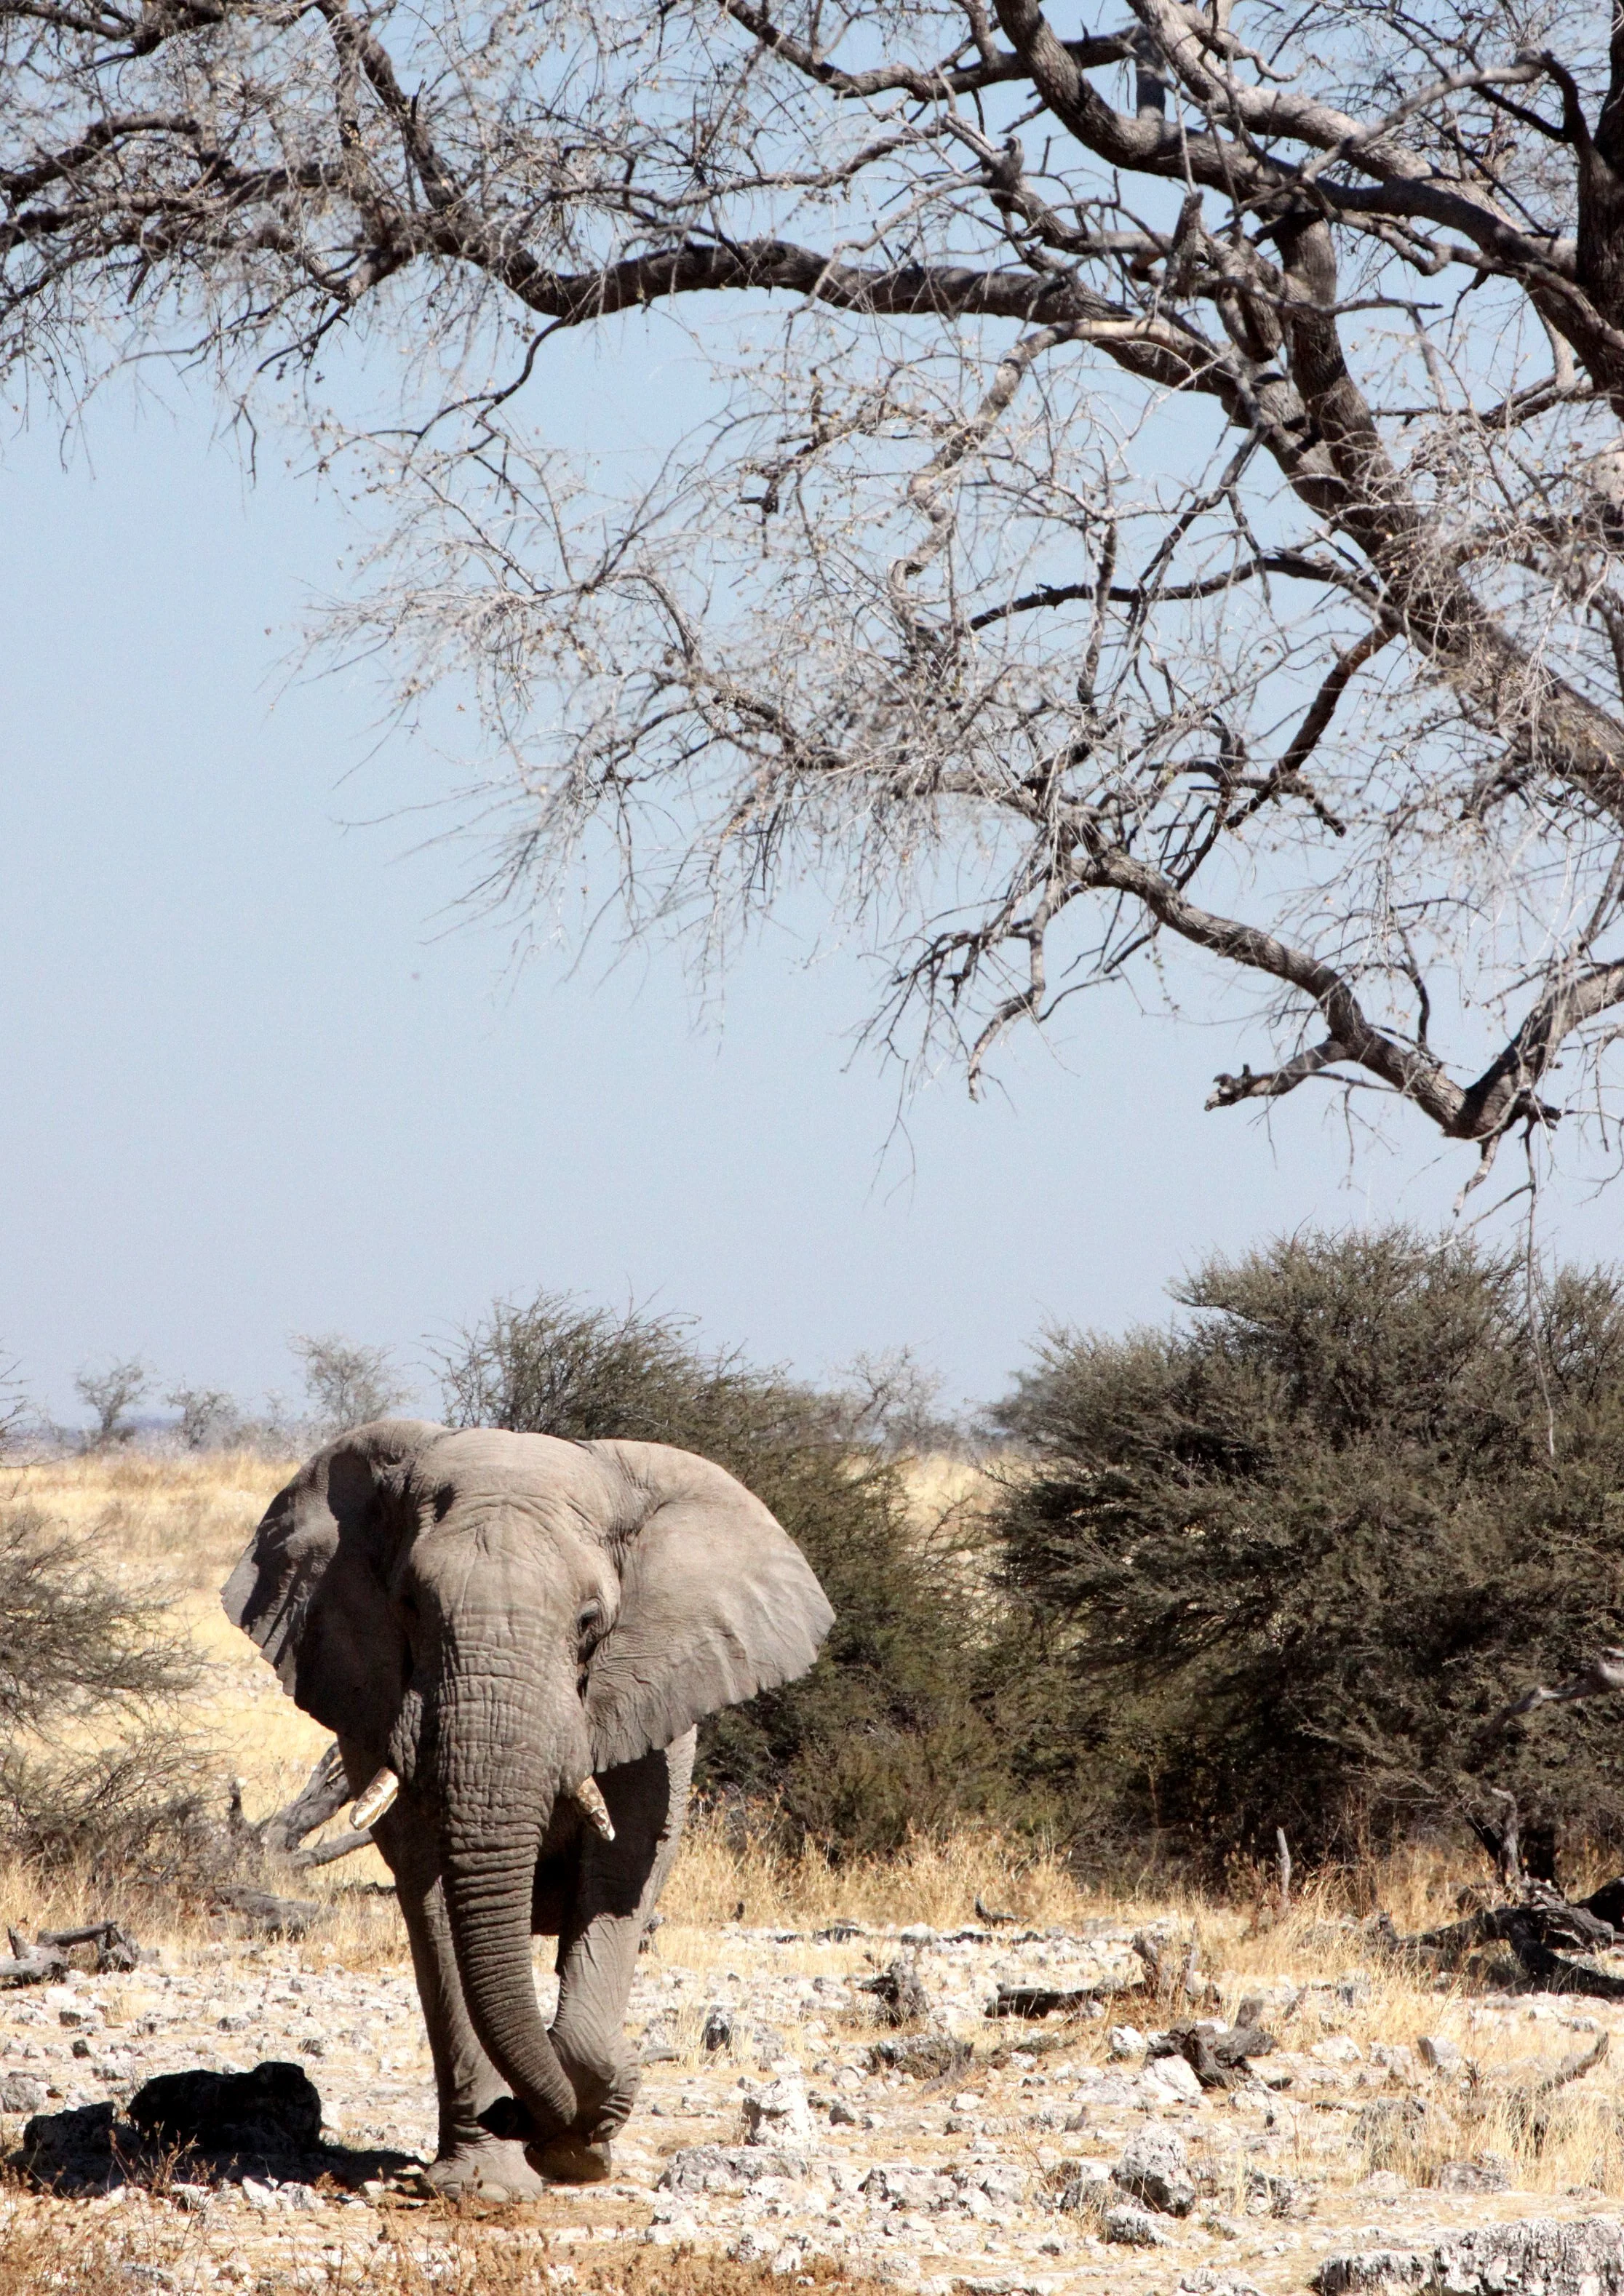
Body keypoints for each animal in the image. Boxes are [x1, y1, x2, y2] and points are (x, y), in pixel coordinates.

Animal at [221, 1417, 834, 2201]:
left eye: (590, 1621)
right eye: (410, 1607)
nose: (519, 2117)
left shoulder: (645, 1701)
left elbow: (621, 1871)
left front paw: (583, 2142)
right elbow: (434, 1898)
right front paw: (489, 2181)